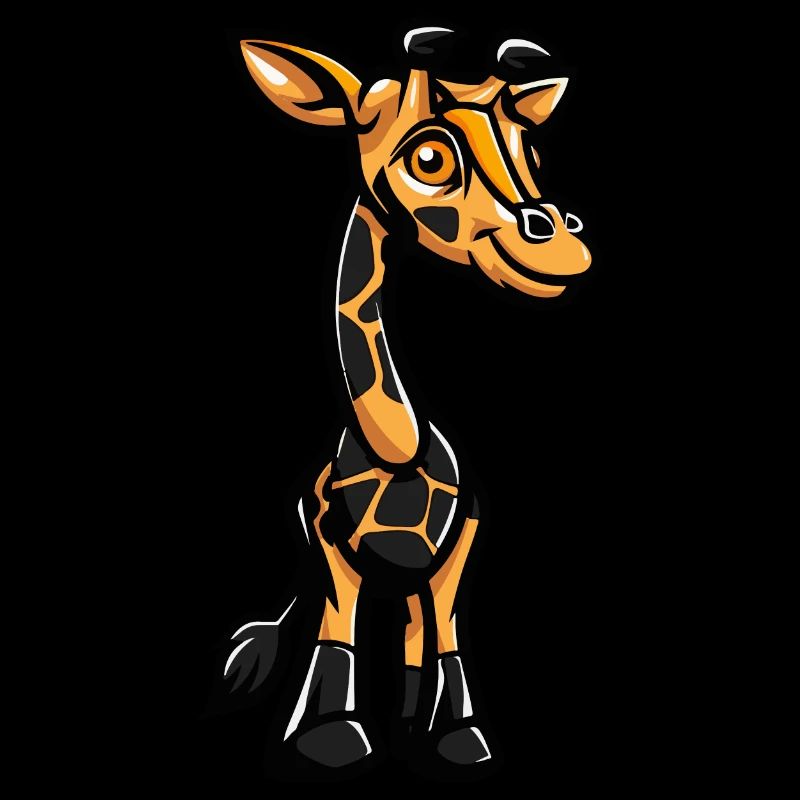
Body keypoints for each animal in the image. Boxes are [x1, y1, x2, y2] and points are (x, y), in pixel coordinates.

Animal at [224, 28, 591, 772]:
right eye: (429, 157)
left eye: (533, 152)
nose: (564, 245)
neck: (396, 448)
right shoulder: (328, 538)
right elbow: (336, 627)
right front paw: (328, 733)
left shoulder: (464, 538)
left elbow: (446, 635)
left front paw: (460, 736)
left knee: (421, 630)